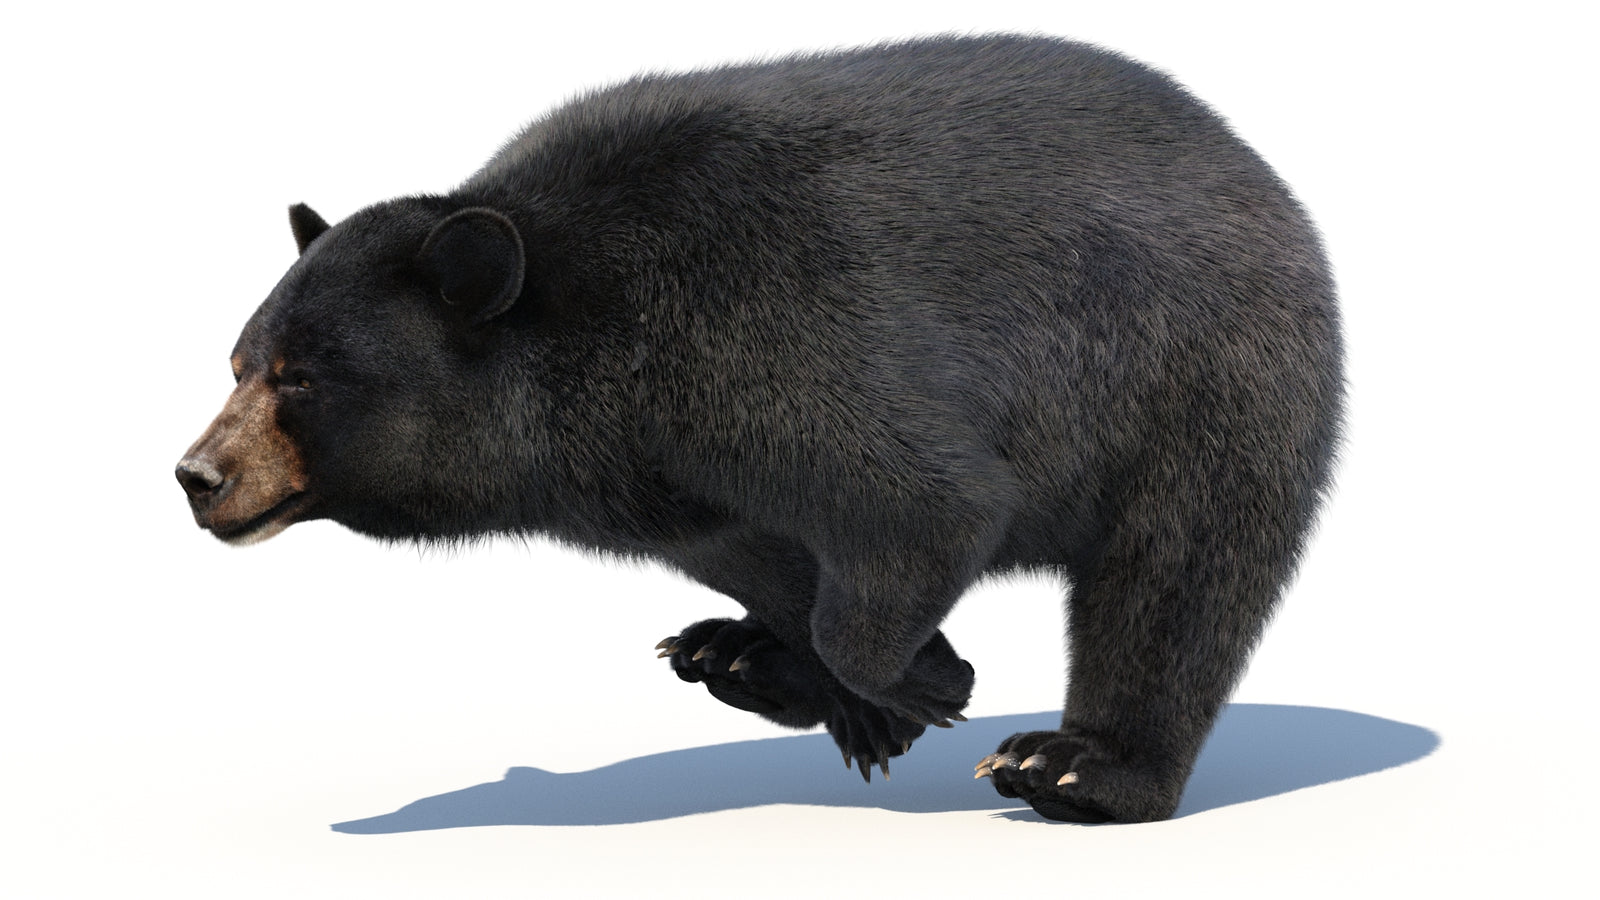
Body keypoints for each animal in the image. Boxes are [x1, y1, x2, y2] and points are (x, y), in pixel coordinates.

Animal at [176, 34, 1343, 824]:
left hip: (1208, 380)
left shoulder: (770, 338)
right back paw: (727, 653)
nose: (197, 475)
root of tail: (1258, 171)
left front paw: (924, 683)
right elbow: (762, 557)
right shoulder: (657, 482)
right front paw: (832, 686)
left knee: (1177, 575)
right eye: (237, 363)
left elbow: (925, 503)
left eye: (301, 378)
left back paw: (1071, 767)